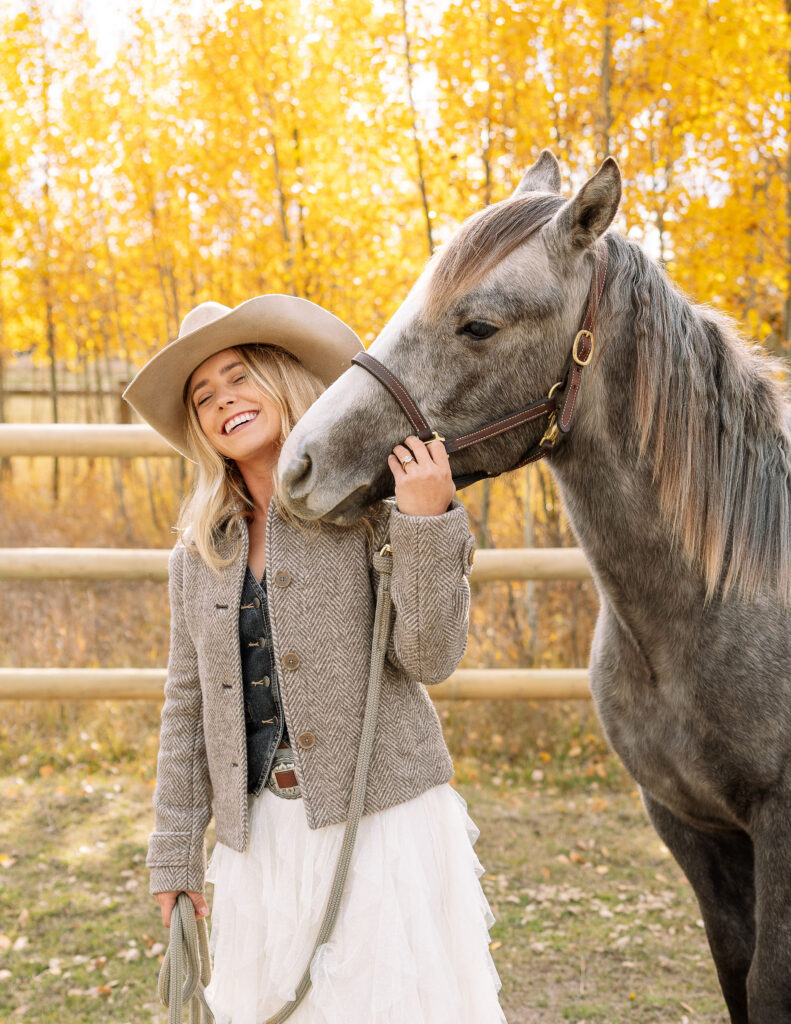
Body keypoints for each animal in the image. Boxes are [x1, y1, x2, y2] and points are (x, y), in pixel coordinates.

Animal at [276, 150, 791, 1024]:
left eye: (478, 325)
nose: (298, 466)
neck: (724, 603)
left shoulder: (779, 831)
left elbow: (769, 982)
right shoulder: (688, 824)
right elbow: (736, 970)